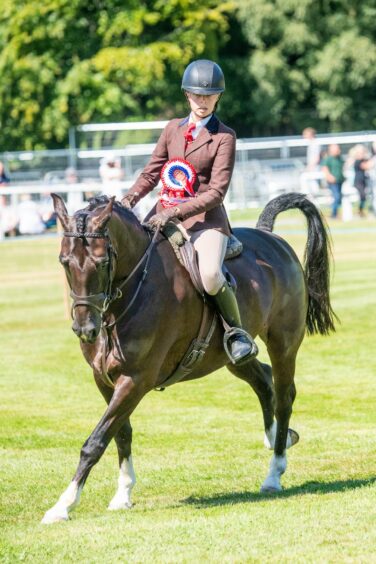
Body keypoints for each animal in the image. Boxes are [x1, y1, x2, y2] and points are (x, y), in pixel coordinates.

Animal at [41, 193, 334, 524]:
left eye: (102, 262)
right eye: (64, 262)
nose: (85, 329)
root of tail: (271, 238)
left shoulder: (136, 380)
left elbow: (96, 441)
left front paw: (63, 505)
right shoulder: (103, 379)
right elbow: (121, 433)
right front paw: (123, 494)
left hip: (283, 343)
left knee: (284, 396)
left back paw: (274, 472)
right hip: (231, 357)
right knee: (263, 381)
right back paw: (275, 438)